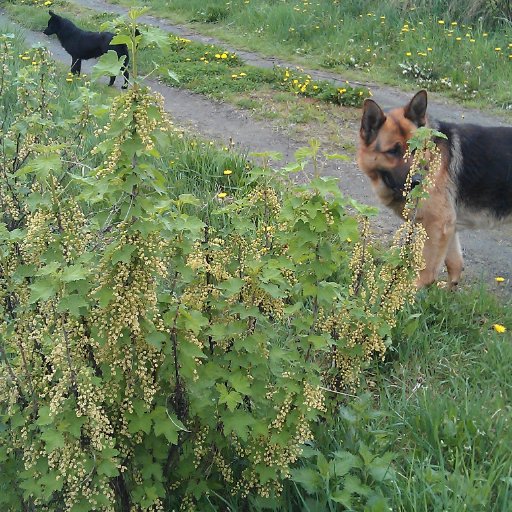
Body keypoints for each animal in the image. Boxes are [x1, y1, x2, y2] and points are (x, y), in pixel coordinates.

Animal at [356, 89, 512, 286]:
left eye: (418, 149)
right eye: (393, 151)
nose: (418, 181)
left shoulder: (438, 224)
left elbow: (426, 271)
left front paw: (411, 291)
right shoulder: (449, 227)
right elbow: (455, 265)